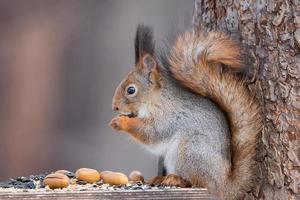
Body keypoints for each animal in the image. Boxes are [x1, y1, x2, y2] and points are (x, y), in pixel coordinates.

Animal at [110, 24, 262, 199]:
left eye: (131, 90)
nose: (114, 107)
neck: (156, 100)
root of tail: (224, 186)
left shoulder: (168, 118)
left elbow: (150, 133)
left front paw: (120, 122)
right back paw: (160, 178)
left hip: (190, 151)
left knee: (196, 182)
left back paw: (176, 179)